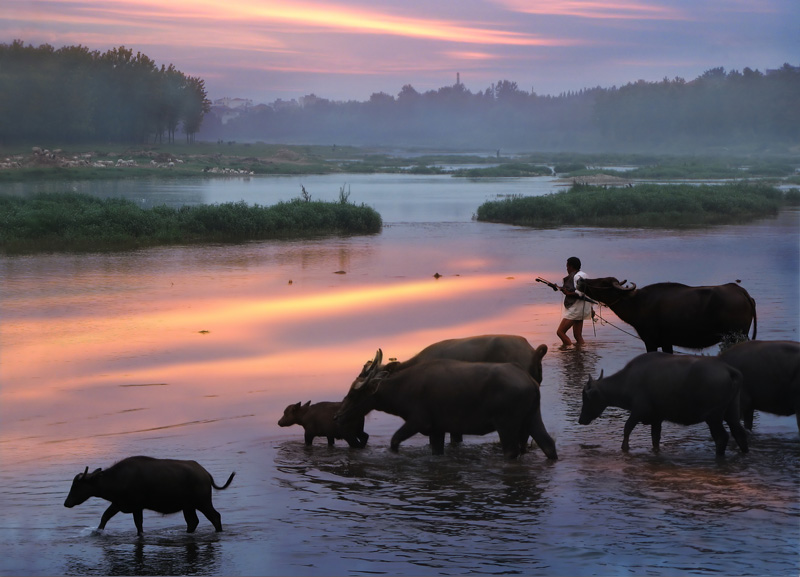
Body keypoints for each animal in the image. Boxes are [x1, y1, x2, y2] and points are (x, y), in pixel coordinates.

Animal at [63, 454, 233, 536]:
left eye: (77, 485)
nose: (66, 503)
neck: (116, 479)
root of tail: (205, 473)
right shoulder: (118, 504)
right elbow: (104, 517)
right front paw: (96, 532)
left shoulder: (137, 506)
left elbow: (139, 524)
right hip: (188, 506)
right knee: (193, 522)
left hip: (203, 502)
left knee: (215, 516)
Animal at [332, 346, 556, 460]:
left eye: (354, 394)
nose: (338, 416)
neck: (400, 391)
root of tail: (531, 381)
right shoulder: (437, 429)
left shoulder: (418, 421)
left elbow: (394, 441)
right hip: (532, 417)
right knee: (548, 444)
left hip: (506, 423)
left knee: (511, 451)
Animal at [580, 274, 756, 352]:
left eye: (603, 282)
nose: (583, 281)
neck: (638, 303)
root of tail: (741, 291)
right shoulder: (666, 343)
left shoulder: (650, 342)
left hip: (735, 337)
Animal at [580, 352, 748, 454]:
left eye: (586, 398)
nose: (581, 420)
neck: (628, 380)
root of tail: (728, 370)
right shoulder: (657, 419)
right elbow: (655, 439)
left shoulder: (638, 411)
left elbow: (627, 429)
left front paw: (625, 447)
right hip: (731, 413)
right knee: (739, 433)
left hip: (713, 417)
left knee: (722, 437)